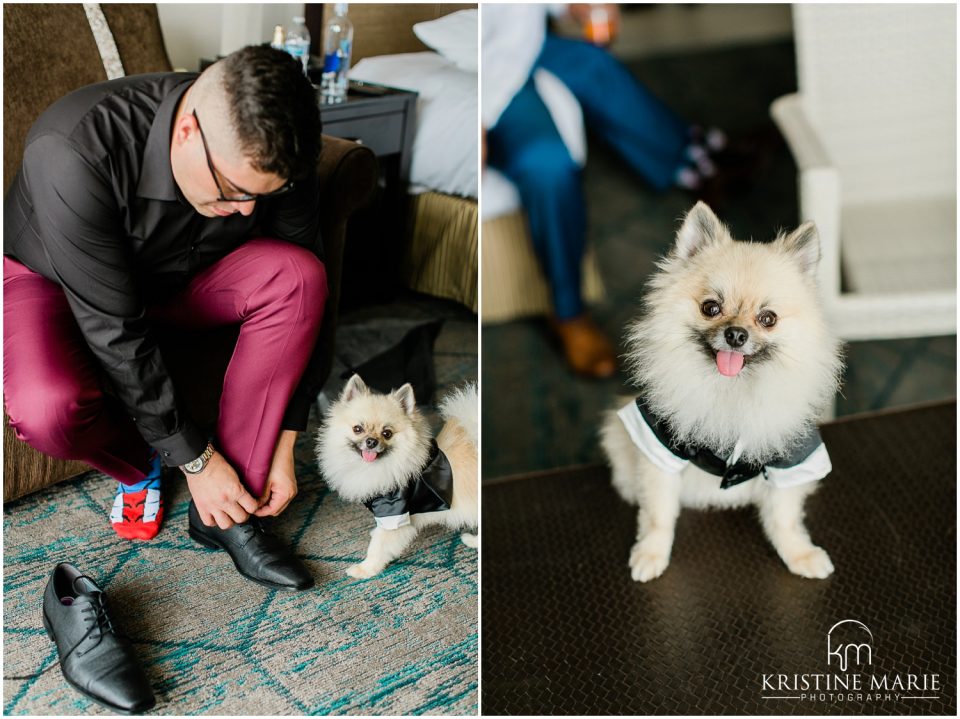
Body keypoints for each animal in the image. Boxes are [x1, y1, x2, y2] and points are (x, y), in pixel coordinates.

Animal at [316, 376, 478, 580]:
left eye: (387, 433)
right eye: (357, 429)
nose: (371, 441)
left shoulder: (394, 514)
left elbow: (378, 547)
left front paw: (365, 569)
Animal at [604, 202, 844, 584]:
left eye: (768, 318)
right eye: (711, 308)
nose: (735, 334)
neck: (732, 389)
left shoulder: (790, 458)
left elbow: (785, 519)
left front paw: (800, 554)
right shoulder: (661, 447)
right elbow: (658, 513)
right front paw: (651, 553)